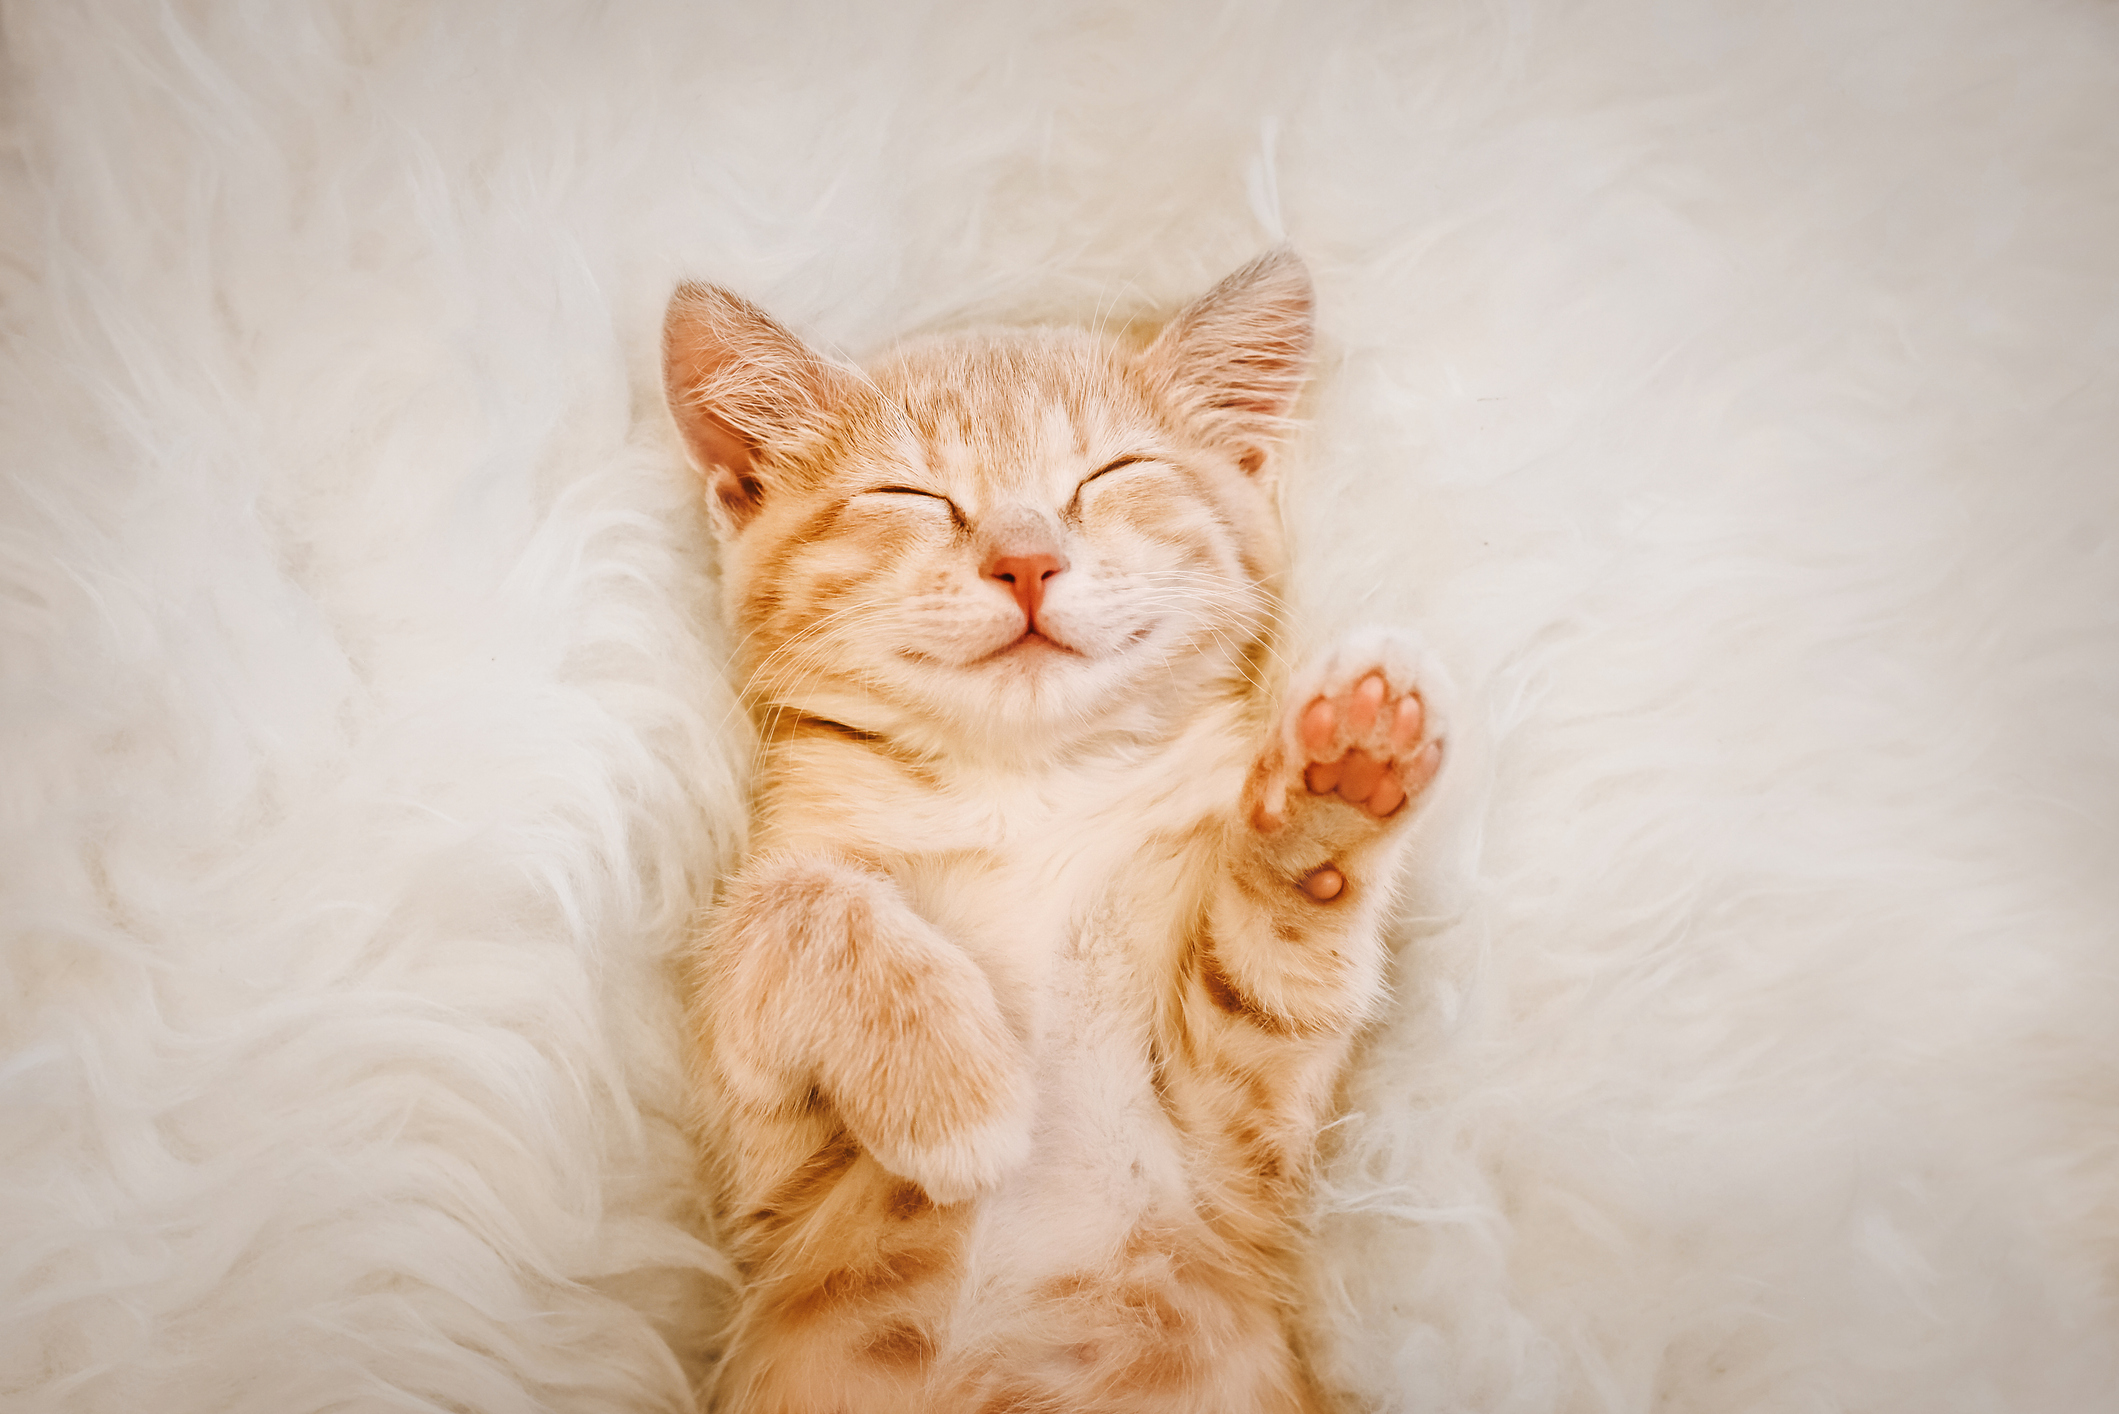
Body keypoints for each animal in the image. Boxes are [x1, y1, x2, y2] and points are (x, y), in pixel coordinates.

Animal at [669, 254, 1449, 1414]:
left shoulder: (1233, 1146)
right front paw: (953, 1093)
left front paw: (1336, 785)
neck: (1028, 791)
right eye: (911, 496)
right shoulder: (764, 1175)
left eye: (1112, 473)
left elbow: (1273, 967)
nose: (1026, 561)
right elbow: (793, 897)